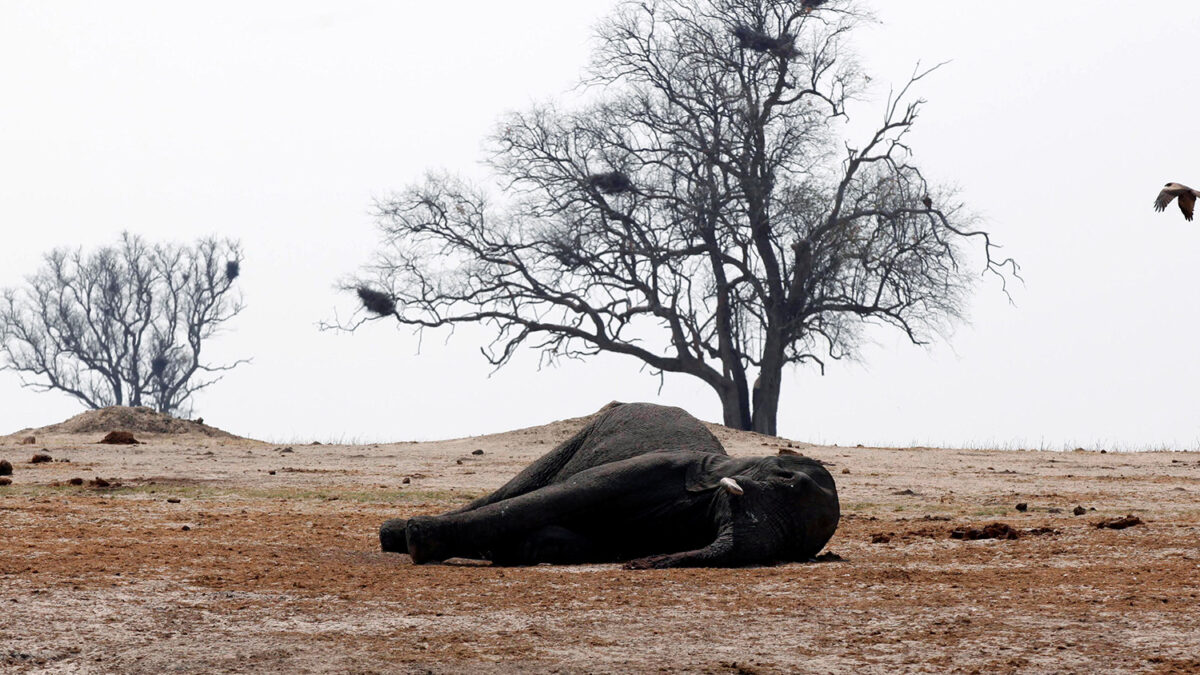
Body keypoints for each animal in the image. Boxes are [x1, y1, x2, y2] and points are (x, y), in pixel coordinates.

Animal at [379, 401, 840, 564]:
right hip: (580, 434)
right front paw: (419, 541)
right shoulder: (659, 466)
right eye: (787, 479)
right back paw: (395, 535)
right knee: (516, 491)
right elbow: (556, 498)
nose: (639, 565)